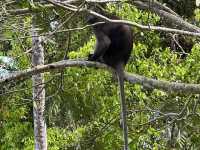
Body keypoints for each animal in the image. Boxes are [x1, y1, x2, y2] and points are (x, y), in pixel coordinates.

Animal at [87, 11, 133, 150]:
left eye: (90, 17)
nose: (87, 20)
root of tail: (121, 61)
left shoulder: (96, 26)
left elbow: (105, 43)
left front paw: (92, 58)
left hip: (109, 57)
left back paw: (98, 60)